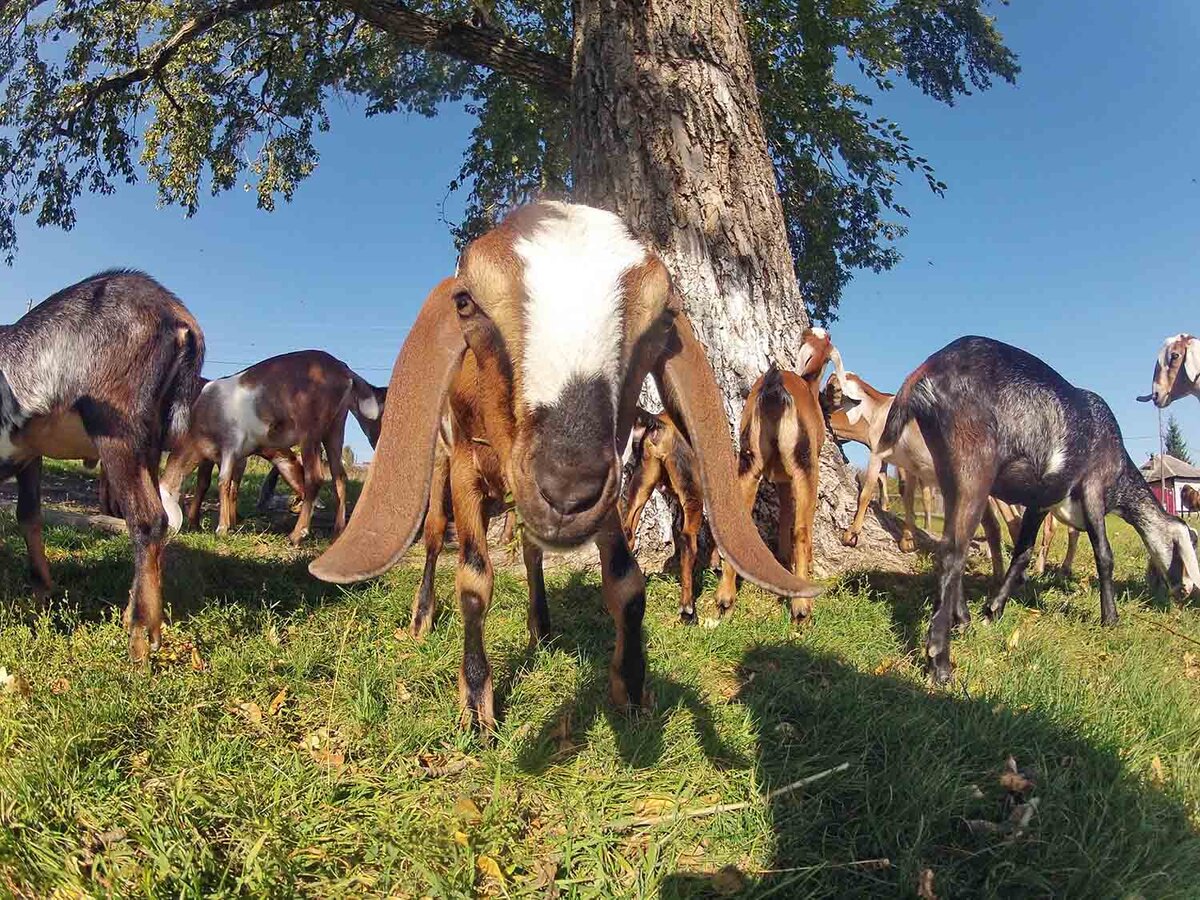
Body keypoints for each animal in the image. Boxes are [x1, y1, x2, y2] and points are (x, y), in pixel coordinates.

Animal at [0, 273, 204, 662]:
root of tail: (179, 317)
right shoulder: (28, 454)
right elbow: (28, 516)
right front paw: (42, 595)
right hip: (148, 441)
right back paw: (137, 616)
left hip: (116, 428)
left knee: (148, 519)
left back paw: (140, 639)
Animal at [160, 350, 384, 549]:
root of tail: (343, 370)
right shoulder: (235, 455)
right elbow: (231, 485)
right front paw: (230, 524)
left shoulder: (230, 445)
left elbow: (223, 482)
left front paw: (221, 529)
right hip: (335, 428)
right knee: (339, 477)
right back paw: (337, 533)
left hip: (310, 430)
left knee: (315, 477)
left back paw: (296, 535)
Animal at [710, 328, 835, 619]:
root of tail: (775, 390)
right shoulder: (797, 475)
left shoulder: (782, 478)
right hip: (806, 469)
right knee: (802, 529)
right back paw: (801, 607)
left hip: (748, 462)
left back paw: (725, 598)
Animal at [883, 336, 1200, 681]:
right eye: (1185, 548)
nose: (1185, 592)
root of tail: (927, 369)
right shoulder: (1093, 486)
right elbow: (1104, 555)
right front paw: (1111, 618)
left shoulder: (1041, 502)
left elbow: (1023, 552)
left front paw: (993, 610)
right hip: (973, 464)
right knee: (951, 552)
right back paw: (940, 662)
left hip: (949, 471)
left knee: (957, 546)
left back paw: (963, 620)